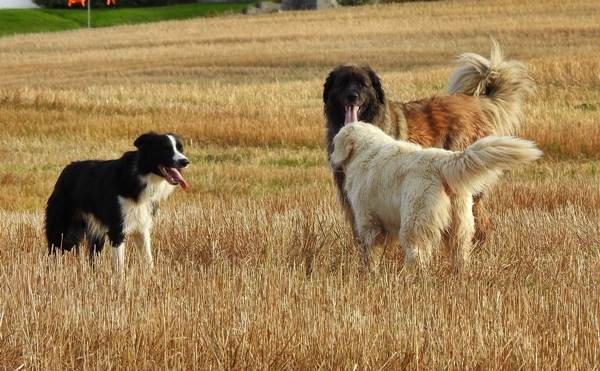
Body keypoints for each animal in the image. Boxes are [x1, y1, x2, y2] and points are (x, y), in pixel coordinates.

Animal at [328, 122, 544, 274]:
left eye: (334, 145)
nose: (330, 160)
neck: (365, 151)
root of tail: (442, 161)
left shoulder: (368, 221)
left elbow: (370, 252)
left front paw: (369, 273)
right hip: (460, 225)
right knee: (460, 255)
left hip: (415, 222)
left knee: (418, 255)